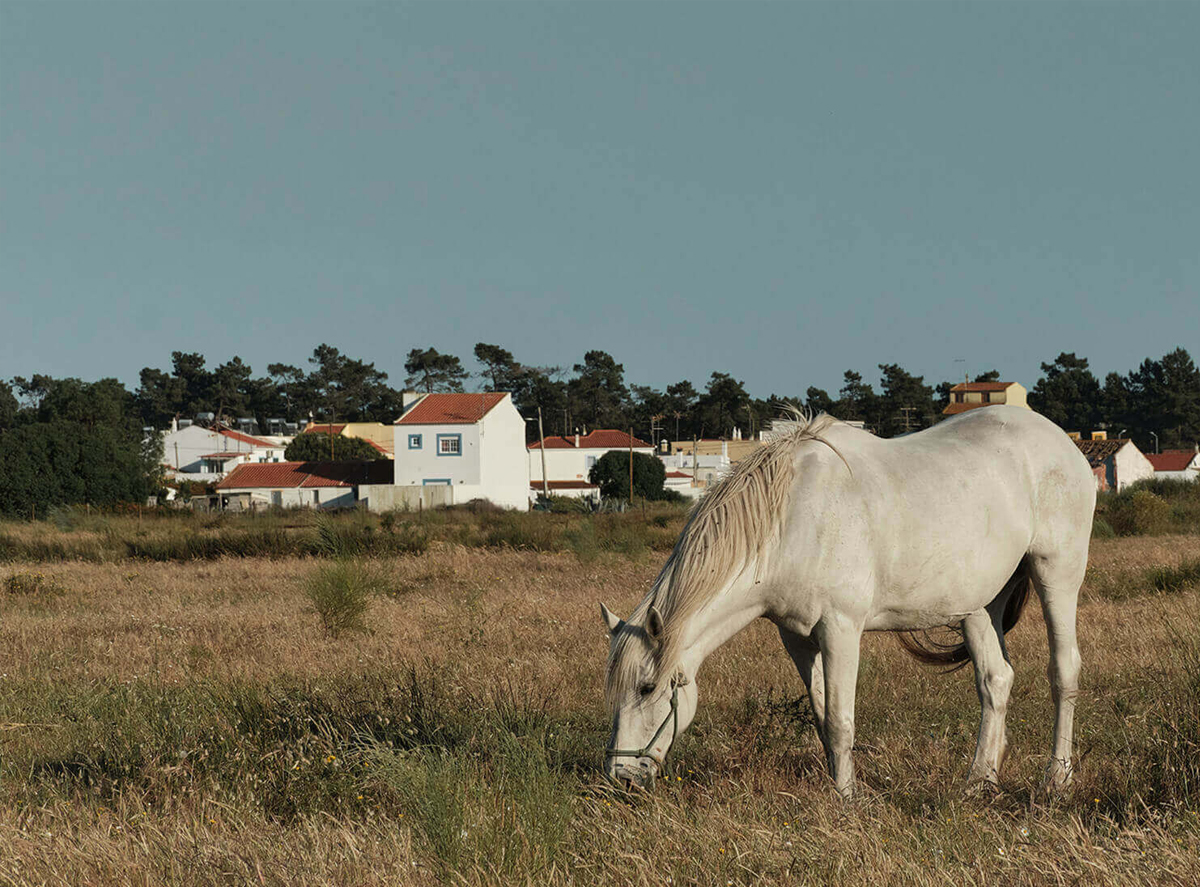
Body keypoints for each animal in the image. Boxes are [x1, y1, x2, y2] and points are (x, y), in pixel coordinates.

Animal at [602, 406, 1095, 798]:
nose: (620, 777)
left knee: (1063, 671)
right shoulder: (798, 640)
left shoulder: (840, 630)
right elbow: (823, 718)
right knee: (995, 681)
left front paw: (846, 801)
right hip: (979, 604)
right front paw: (840, 787)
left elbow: (841, 721)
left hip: (1057, 573)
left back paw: (1057, 779)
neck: (789, 520)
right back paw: (979, 781)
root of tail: (1064, 445)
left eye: (647, 687)